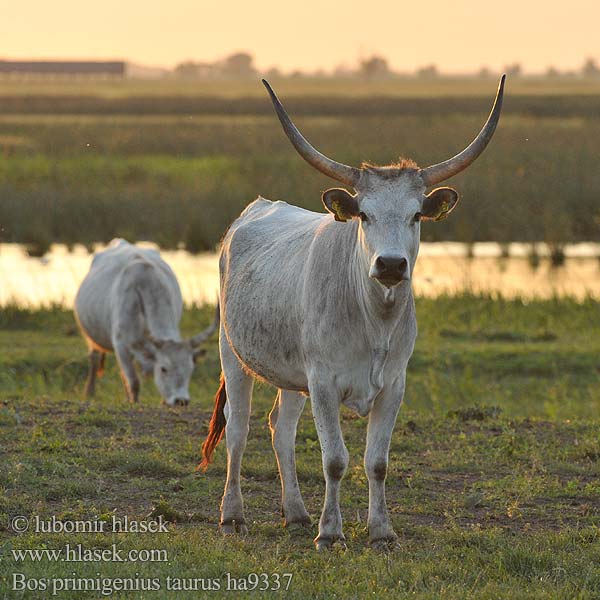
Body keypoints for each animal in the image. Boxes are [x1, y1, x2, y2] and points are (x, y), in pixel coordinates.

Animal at [74, 239, 217, 408]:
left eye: (190, 368)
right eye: (163, 369)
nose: (181, 401)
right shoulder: (121, 345)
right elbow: (134, 382)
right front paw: (134, 402)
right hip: (91, 338)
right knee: (94, 360)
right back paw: (89, 392)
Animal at [199, 76, 504, 548]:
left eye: (417, 216)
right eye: (364, 214)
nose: (392, 265)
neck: (374, 321)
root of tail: (254, 210)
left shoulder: (393, 385)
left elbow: (377, 462)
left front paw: (381, 531)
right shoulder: (324, 383)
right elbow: (335, 460)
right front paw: (330, 533)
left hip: (292, 373)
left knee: (280, 429)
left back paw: (295, 513)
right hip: (232, 355)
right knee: (237, 430)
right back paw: (232, 515)